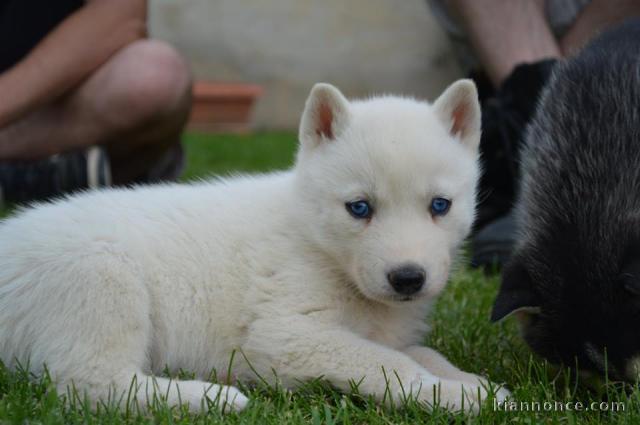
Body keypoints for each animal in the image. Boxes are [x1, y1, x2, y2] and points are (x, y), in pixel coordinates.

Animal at [0, 79, 510, 410]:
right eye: (359, 208)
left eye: (440, 205)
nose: (407, 278)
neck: (315, 242)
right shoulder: (284, 334)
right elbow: (390, 364)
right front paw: (454, 395)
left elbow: (420, 353)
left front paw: (476, 383)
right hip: (102, 279)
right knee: (91, 384)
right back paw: (212, 397)